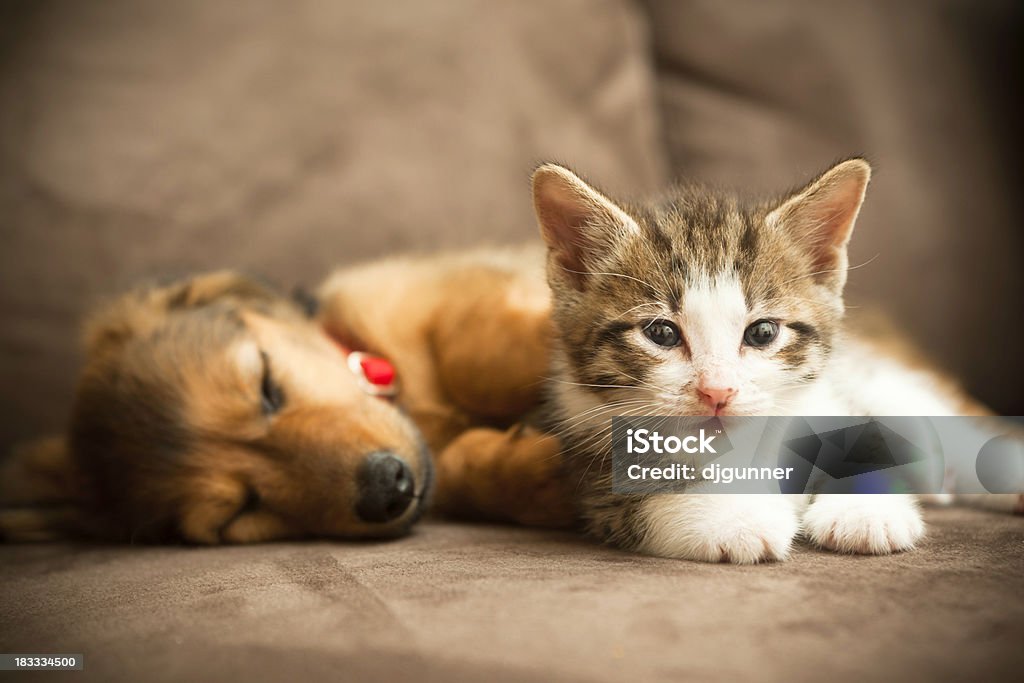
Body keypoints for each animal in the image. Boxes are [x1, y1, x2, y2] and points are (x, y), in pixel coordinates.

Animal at [0, 250, 577, 544]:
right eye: (241, 511)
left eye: (266, 384)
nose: (387, 488)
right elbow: (461, 467)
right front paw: (533, 477)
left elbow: (472, 354)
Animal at [532, 160, 978, 565]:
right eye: (660, 333)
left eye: (762, 333)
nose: (717, 391)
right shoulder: (586, 456)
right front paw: (735, 519)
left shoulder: (830, 401)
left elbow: (867, 441)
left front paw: (865, 510)